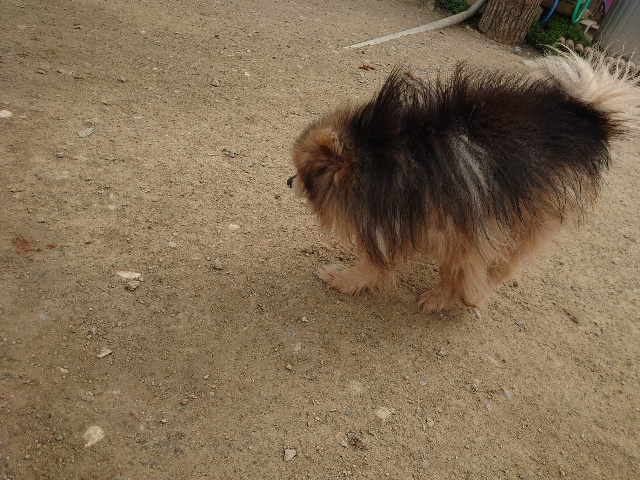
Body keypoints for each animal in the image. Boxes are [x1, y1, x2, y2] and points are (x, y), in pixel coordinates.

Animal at [288, 51, 639, 311]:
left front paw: (458, 295)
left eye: (303, 173)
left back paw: (484, 286)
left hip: (532, 213)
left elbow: (459, 268)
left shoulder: (466, 225)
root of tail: (582, 116)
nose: (289, 181)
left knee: (508, 262)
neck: (389, 160)